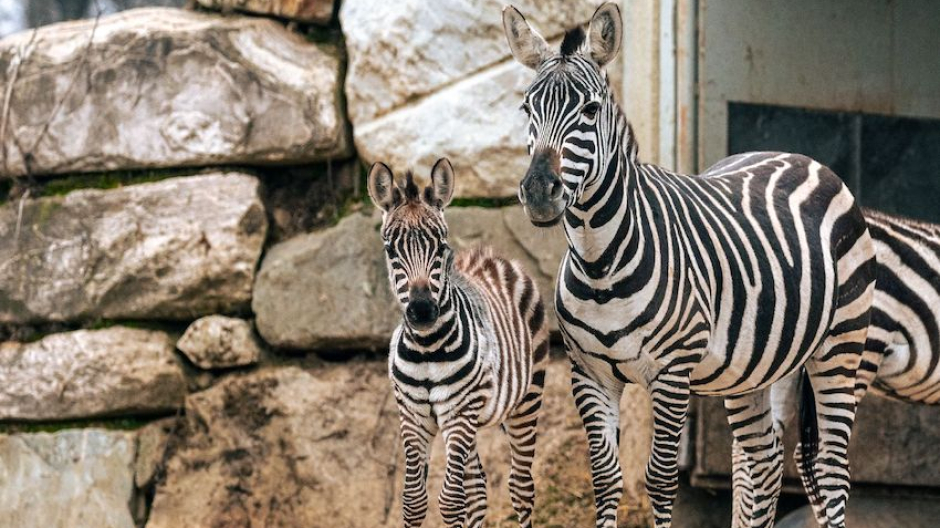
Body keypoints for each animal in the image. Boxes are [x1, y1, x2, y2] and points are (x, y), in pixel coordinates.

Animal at [368, 158, 550, 528]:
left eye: (440, 247)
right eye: (391, 251)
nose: (422, 310)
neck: (426, 348)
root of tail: (491, 256)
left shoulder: (459, 411)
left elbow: (451, 501)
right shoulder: (412, 414)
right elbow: (414, 500)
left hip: (526, 399)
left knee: (521, 487)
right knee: (477, 488)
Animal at [502, 4, 877, 528]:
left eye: (590, 110)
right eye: (526, 110)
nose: (539, 192)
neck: (600, 264)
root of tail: (800, 157)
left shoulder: (673, 371)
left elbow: (660, 480)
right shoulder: (588, 372)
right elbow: (606, 479)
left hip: (842, 345)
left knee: (830, 470)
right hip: (754, 366)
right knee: (764, 460)